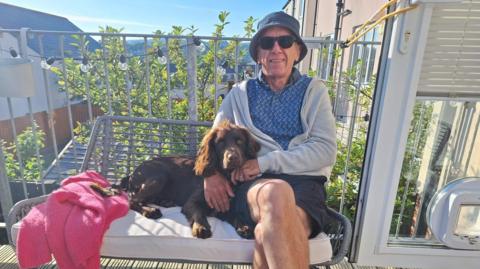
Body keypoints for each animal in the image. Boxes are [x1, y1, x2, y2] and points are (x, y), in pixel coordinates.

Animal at [117, 120, 258, 238]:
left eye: (239, 141)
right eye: (220, 142)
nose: (232, 158)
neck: (225, 175)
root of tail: (132, 173)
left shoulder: (226, 207)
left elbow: (237, 215)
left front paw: (245, 227)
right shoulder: (192, 203)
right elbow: (198, 214)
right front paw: (201, 227)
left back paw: (165, 202)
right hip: (159, 177)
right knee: (132, 200)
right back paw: (150, 210)